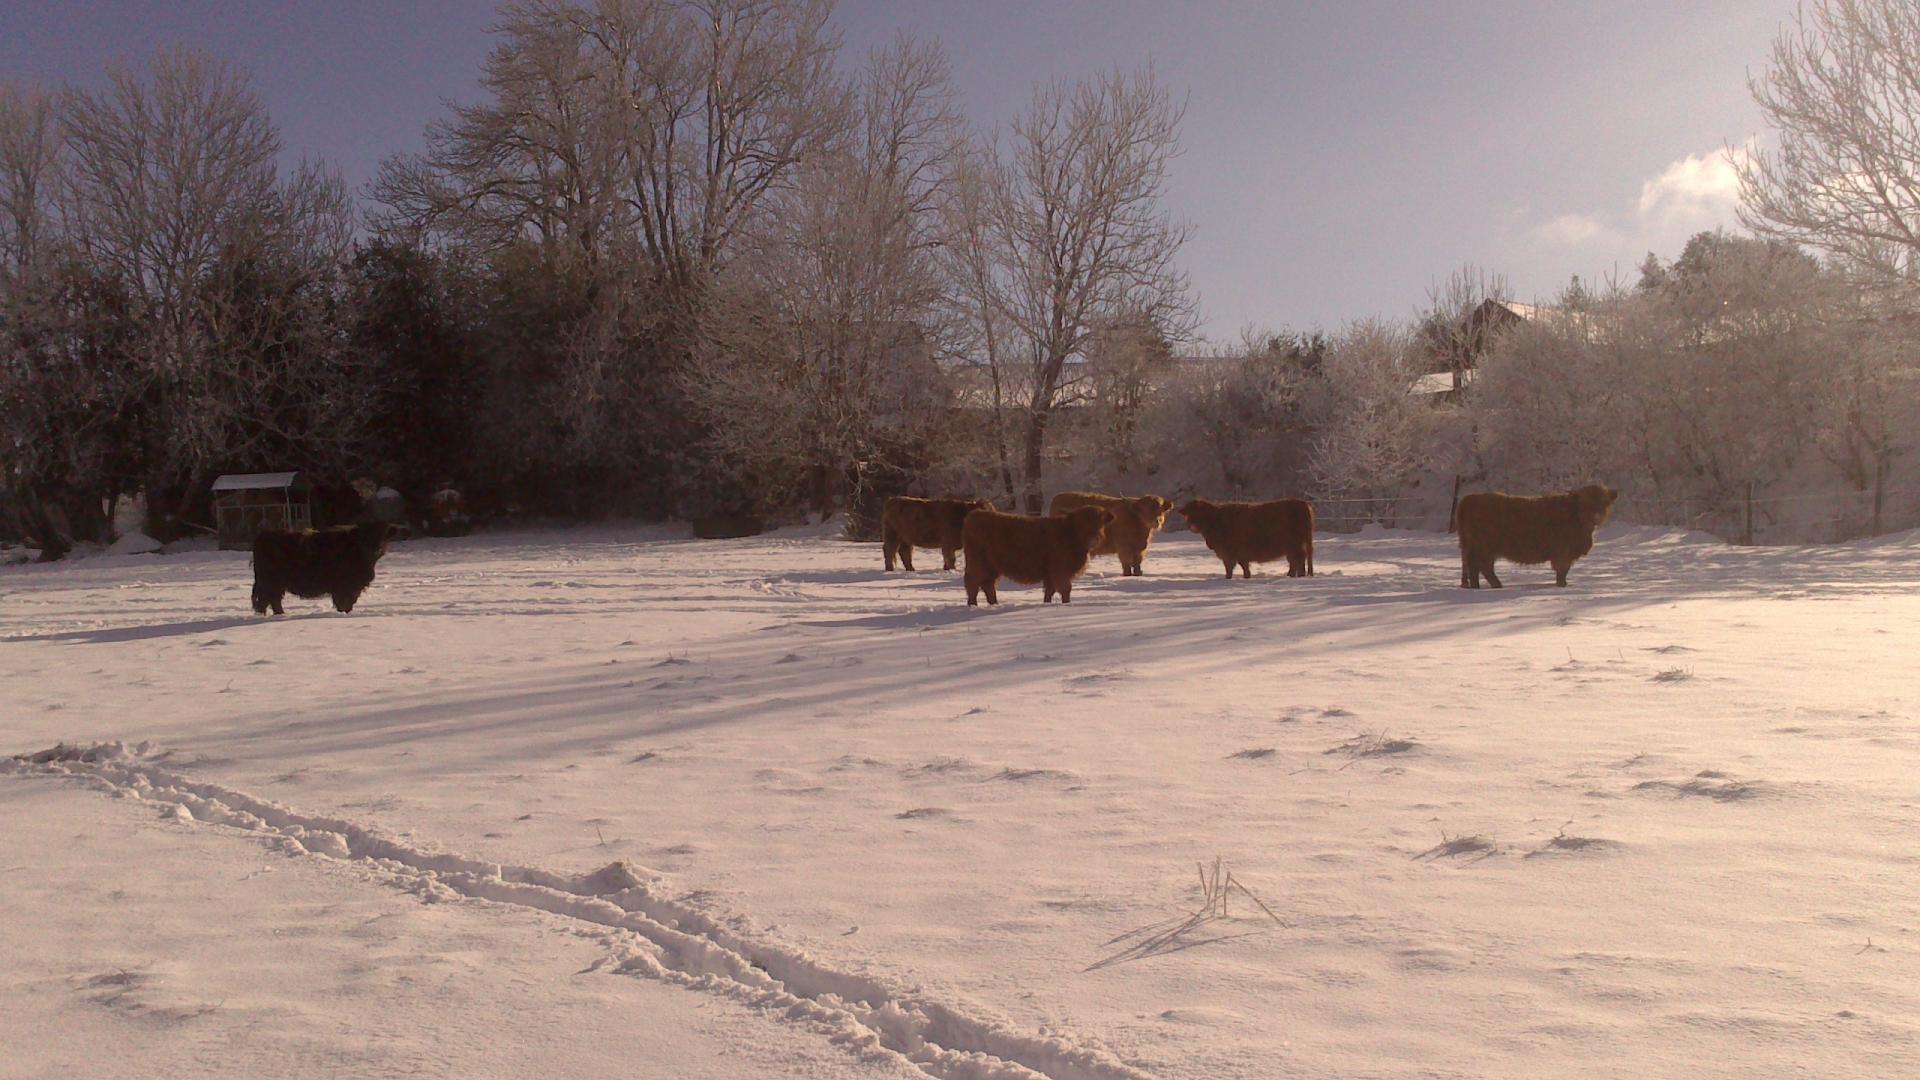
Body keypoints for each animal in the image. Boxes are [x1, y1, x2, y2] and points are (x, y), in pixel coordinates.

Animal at [251, 522, 393, 614]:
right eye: (364, 537)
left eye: (383, 536)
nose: (377, 548)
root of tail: (264, 534)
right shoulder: (344, 586)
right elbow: (344, 602)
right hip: (271, 581)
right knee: (269, 599)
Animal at [956, 507, 1113, 607]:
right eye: (1082, 523)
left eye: (1100, 522)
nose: (1093, 538)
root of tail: (975, 514)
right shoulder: (1060, 571)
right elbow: (1065, 589)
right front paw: (1067, 604)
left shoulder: (1051, 574)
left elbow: (1050, 591)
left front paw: (1047, 603)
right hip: (977, 563)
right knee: (973, 583)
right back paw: (973, 605)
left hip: (992, 567)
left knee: (988, 585)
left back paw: (994, 604)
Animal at [1175, 499, 1313, 576]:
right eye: (1188, 513)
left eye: (1197, 512)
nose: (1191, 525)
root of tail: (1303, 504)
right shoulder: (1232, 553)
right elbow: (1235, 567)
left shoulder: (1232, 552)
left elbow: (1234, 567)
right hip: (1292, 547)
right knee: (1296, 561)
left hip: (1295, 545)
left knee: (1299, 560)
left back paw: (1296, 575)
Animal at [1451, 480, 1620, 584]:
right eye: (1585, 503)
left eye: (1605, 503)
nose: (1596, 516)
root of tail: (1468, 498)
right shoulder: (1562, 552)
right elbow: (1562, 572)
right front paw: (1562, 585)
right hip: (1483, 547)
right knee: (1483, 567)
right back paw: (1497, 585)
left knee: (1475, 569)